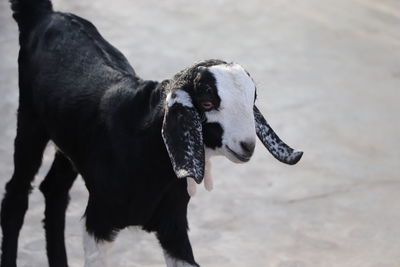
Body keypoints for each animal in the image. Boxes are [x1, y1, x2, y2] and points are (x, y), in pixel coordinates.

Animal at [0, 0, 300, 267]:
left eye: (253, 99)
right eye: (206, 103)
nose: (247, 145)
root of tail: (46, 14)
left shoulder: (173, 226)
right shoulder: (99, 221)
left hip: (67, 143)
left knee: (54, 189)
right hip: (30, 122)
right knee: (16, 195)